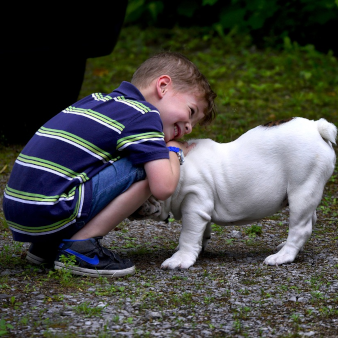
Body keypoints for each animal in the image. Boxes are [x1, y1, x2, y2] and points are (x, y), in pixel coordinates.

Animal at [131, 117, 336, 268]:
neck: (177, 168)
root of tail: (317, 127)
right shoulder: (201, 209)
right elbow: (202, 231)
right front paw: (199, 247)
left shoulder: (194, 205)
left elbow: (188, 235)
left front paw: (180, 259)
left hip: (302, 188)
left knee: (300, 227)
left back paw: (282, 256)